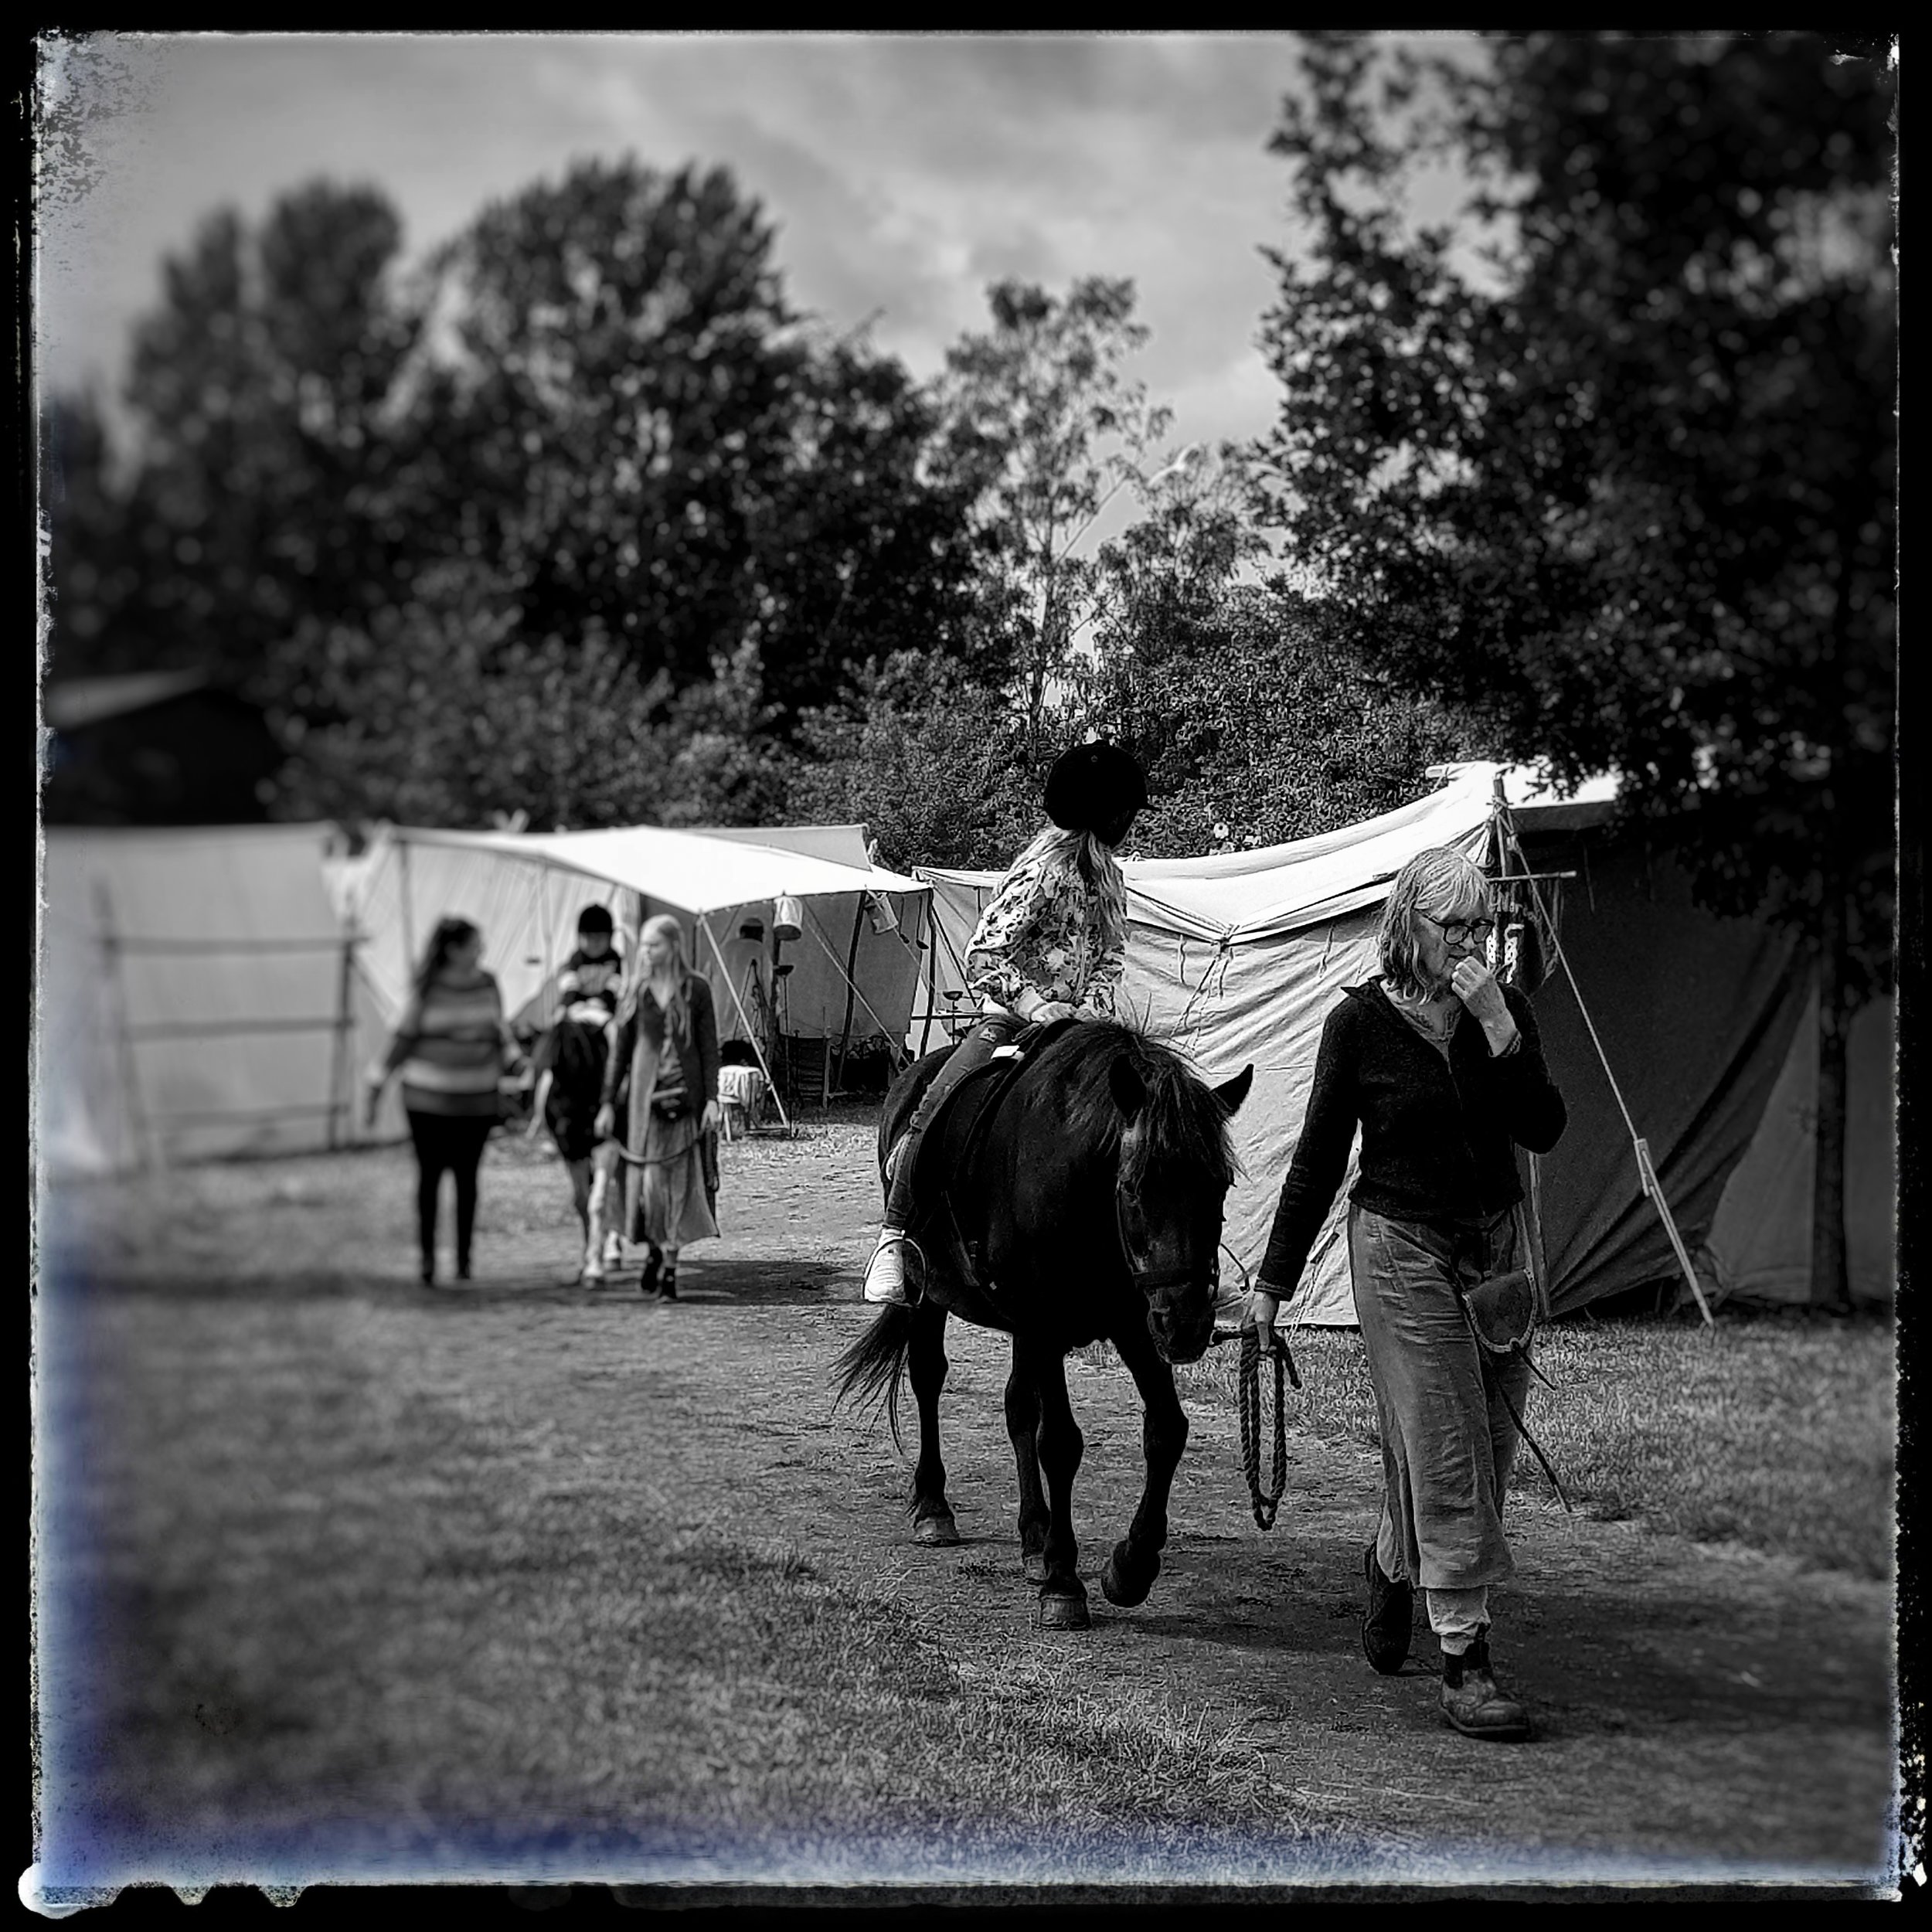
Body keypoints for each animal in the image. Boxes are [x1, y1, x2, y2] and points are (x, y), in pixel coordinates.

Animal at [831, 1020, 1252, 1623]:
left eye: (1219, 1185)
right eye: (1134, 1187)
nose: (1187, 1324)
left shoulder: (1131, 1322)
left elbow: (1167, 1429)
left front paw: (1130, 1566)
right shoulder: (1047, 1322)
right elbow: (1060, 1442)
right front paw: (1063, 1582)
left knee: (1017, 1408)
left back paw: (1033, 1535)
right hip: (932, 1294)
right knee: (929, 1377)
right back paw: (934, 1507)